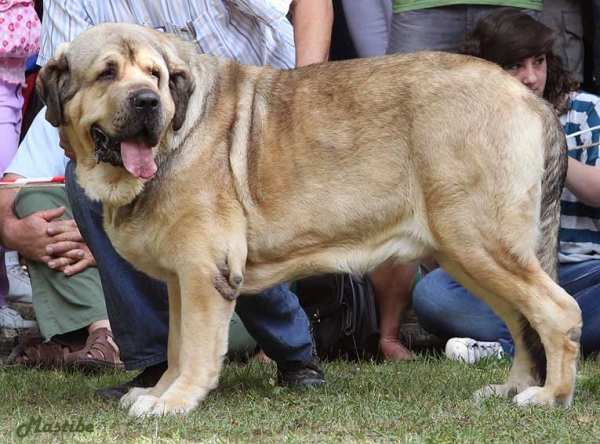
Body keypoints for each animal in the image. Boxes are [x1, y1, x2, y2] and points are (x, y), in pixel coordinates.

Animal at [38, 23, 580, 416]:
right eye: (107, 74)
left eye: (153, 75)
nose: (149, 102)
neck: (179, 129)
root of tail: (530, 98)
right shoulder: (180, 279)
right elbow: (175, 345)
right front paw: (158, 391)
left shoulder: (204, 272)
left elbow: (194, 349)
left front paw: (173, 401)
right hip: (469, 254)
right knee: (522, 321)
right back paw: (511, 389)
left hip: (481, 243)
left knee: (558, 311)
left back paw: (549, 397)